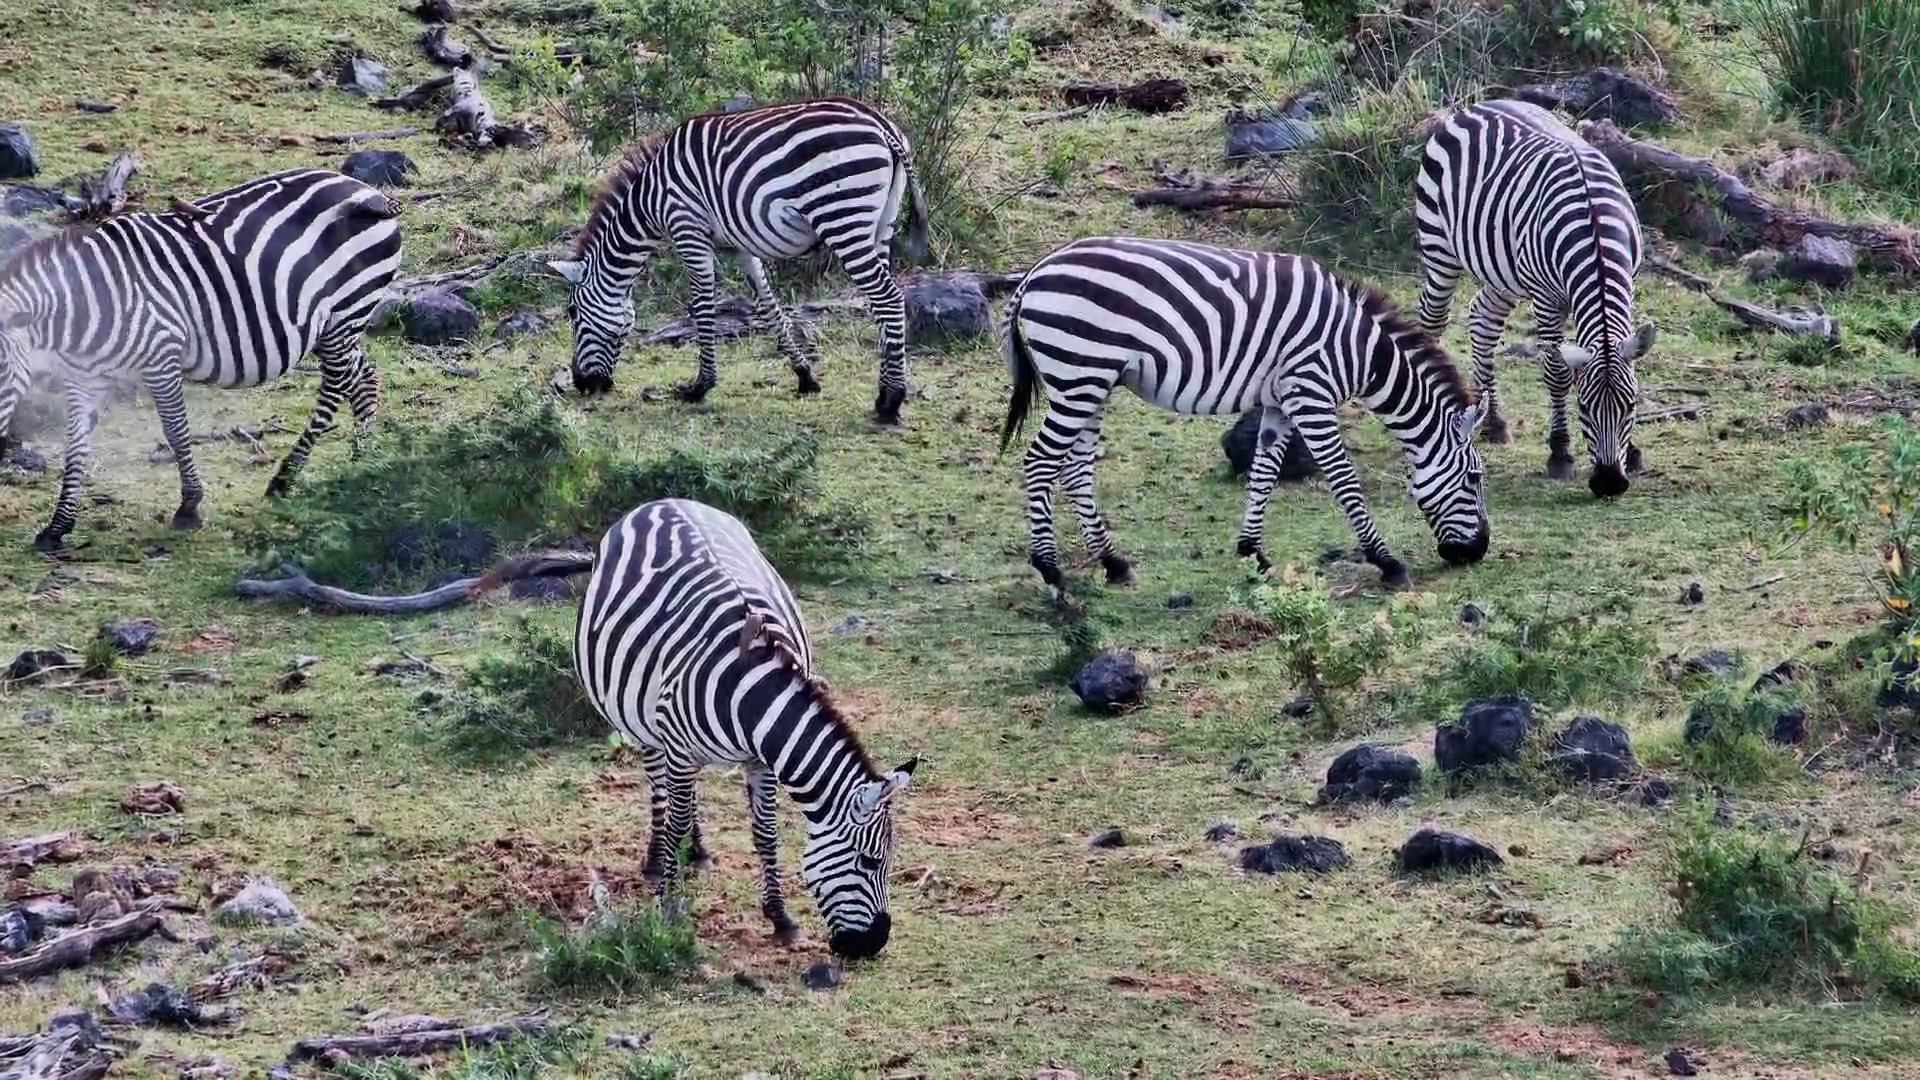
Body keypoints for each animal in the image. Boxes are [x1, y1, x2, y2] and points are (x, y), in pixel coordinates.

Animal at [0, 167, 400, 551]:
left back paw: (287, 478)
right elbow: (75, 444)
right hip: (329, 325)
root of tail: (367, 189)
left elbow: (176, 431)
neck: (85, 306)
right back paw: (362, 461)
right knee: (363, 375)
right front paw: (57, 526)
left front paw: (189, 506)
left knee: (334, 387)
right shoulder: (83, 376)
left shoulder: (161, 357)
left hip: (345, 311)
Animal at [473, 498, 917, 958]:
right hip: (641, 719)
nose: (872, 944)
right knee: (659, 787)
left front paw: (780, 918)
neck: (751, 691)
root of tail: (661, 501)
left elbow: (765, 834)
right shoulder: (681, 746)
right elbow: (675, 819)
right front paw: (668, 907)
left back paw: (697, 850)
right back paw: (657, 859)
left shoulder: (760, 760)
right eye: (870, 861)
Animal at [548, 96, 929, 425]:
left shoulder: (688, 230)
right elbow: (770, 307)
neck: (650, 201)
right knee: (880, 304)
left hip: (842, 215)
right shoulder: (740, 246)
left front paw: (699, 386)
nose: (583, 384)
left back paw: (892, 401)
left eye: (572, 313)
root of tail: (882, 125)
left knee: (888, 298)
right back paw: (882, 395)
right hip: (880, 223)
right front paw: (805, 377)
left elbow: (702, 307)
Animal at [999, 236, 1490, 592]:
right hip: (1079, 375)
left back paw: (1112, 562)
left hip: (1091, 383)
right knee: (1040, 461)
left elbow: (1264, 472)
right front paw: (1386, 561)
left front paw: (1253, 552)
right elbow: (1344, 480)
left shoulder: (1281, 402)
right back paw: (1050, 568)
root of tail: (1036, 272)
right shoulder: (1311, 394)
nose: (1479, 552)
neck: (1360, 352)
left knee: (1076, 467)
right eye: (1474, 478)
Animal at [1414, 98, 1657, 498]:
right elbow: (1556, 373)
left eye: (1631, 405)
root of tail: (1477, 106)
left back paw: (1494, 422)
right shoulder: (1546, 298)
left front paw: (1633, 452)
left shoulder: (1629, 282)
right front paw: (1560, 453)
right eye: (1583, 407)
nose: (1608, 483)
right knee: (1431, 320)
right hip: (1439, 248)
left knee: (1482, 321)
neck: (1594, 232)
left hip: (1502, 271)